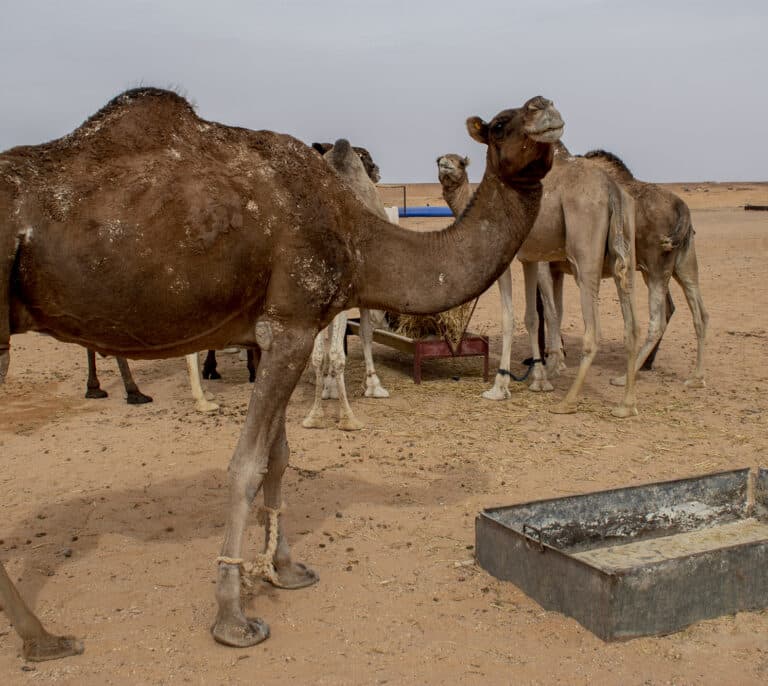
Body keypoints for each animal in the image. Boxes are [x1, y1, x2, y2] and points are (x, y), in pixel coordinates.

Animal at [0, 87, 564, 660]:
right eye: (500, 124)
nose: (545, 109)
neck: (355, 237)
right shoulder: (291, 324)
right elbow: (247, 466)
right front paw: (233, 617)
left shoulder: (272, 332)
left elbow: (280, 458)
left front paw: (287, 570)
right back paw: (42, 637)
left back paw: (39, 635)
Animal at [436, 144, 640, 420]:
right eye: (440, 159)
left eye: (459, 162)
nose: (444, 163)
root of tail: (612, 189)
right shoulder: (530, 258)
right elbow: (532, 318)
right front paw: (539, 379)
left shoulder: (506, 258)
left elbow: (510, 317)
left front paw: (499, 387)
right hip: (626, 248)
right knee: (632, 325)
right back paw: (626, 405)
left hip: (584, 249)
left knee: (592, 331)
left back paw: (567, 402)